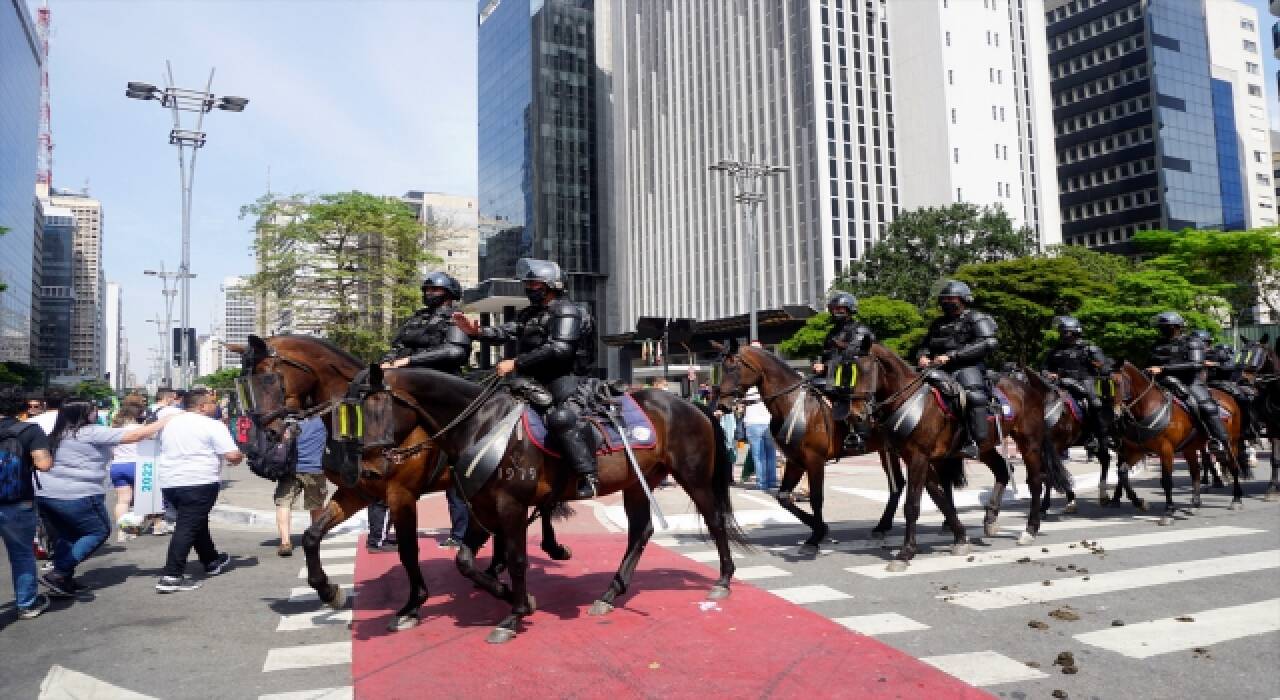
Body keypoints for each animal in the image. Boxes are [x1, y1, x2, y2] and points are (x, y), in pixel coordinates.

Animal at [230, 335, 570, 629]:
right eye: (245, 385)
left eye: (269, 377)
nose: (268, 432)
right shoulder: (357, 491)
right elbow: (313, 535)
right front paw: (327, 590)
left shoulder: (401, 495)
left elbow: (408, 549)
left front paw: (414, 604)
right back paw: (503, 564)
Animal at [355, 365, 747, 647]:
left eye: (381, 408)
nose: (369, 470)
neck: (483, 426)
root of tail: (692, 404)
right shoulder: (482, 508)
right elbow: (465, 561)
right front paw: (513, 596)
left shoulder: (510, 507)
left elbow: (516, 560)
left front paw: (513, 615)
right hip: (638, 483)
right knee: (640, 532)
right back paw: (609, 594)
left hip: (693, 478)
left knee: (714, 520)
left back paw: (723, 580)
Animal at [711, 342, 911, 552]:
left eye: (733, 368)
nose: (722, 405)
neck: (794, 405)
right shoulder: (795, 461)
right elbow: (783, 497)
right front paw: (820, 527)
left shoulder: (815, 461)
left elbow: (815, 498)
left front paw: (816, 536)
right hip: (887, 450)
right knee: (897, 484)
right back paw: (882, 526)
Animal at [849, 342, 1070, 570]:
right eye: (850, 370)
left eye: (867, 370)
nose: (856, 416)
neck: (908, 399)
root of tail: (1030, 389)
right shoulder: (918, 460)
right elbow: (941, 500)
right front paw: (961, 538)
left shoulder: (919, 458)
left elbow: (912, 505)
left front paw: (905, 552)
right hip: (985, 447)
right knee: (1003, 470)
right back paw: (990, 518)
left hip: (1029, 444)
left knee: (1035, 481)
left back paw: (1030, 530)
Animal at [1105, 358, 1244, 522]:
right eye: (1106, 384)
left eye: (1118, 383)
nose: (1114, 415)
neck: (1149, 408)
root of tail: (1229, 397)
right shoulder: (1137, 451)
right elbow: (1122, 473)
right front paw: (1140, 503)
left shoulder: (1166, 451)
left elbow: (1166, 480)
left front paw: (1169, 511)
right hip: (1190, 449)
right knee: (1195, 472)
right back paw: (1195, 504)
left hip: (1231, 443)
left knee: (1233, 467)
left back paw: (1236, 500)